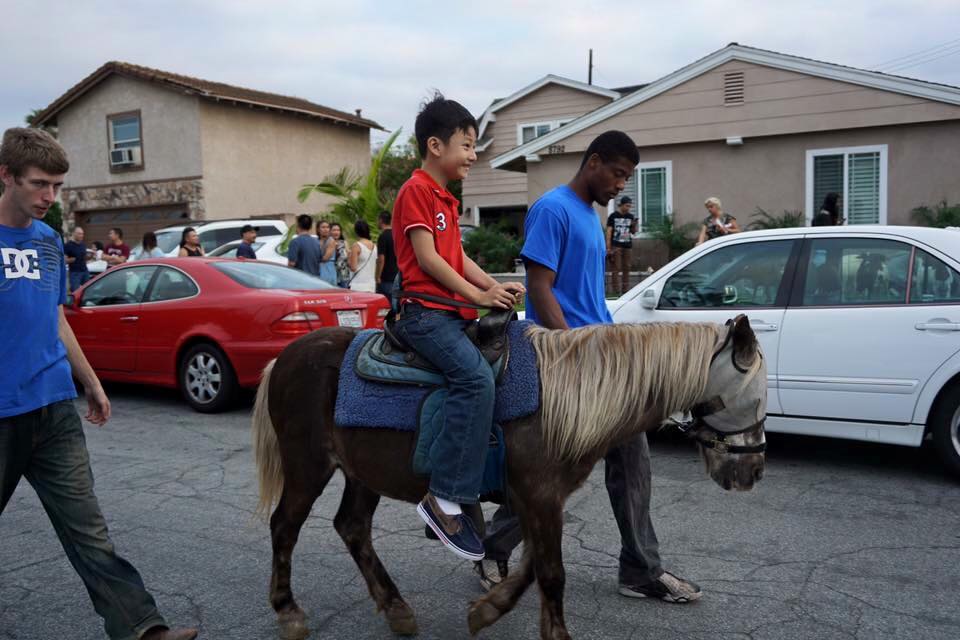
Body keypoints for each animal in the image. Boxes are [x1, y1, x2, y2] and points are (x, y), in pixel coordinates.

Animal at [252, 314, 768, 640]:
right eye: (758, 396)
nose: (753, 472)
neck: (565, 397)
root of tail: (284, 359)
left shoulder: (539, 500)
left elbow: (532, 566)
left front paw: (487, 610)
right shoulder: (539, 496)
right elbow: (552, 573)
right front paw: (555, 633)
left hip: (363, 471)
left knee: (353, 527)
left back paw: (396, 608)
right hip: (308, 466)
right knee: (284, 527)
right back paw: (288, 611)